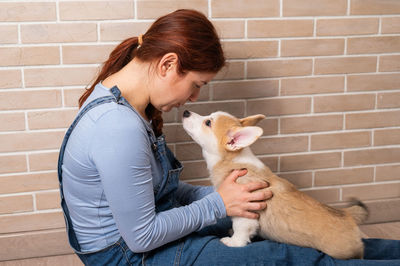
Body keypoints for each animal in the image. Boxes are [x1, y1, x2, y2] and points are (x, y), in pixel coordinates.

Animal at [181, 110, 368, 260]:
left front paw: (233, 242)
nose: (185, 112)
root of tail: (347, 215)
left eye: (208, 122)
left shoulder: (246, 214)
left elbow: (240, 229)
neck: (233, 160)